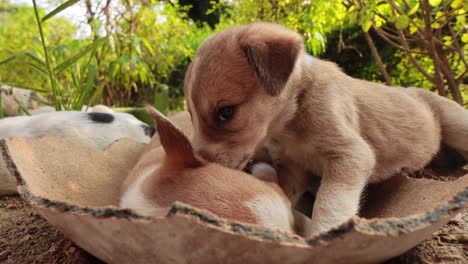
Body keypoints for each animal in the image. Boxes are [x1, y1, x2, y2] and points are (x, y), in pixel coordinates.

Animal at [183, 22, 468, 236]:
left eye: (226, 112)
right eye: (191, 115)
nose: (198, 160)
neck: (292, 118)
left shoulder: (350, 155)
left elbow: (330, 204)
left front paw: (323, 234)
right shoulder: (292, 168)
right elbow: (284, 193)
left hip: (456, 123)